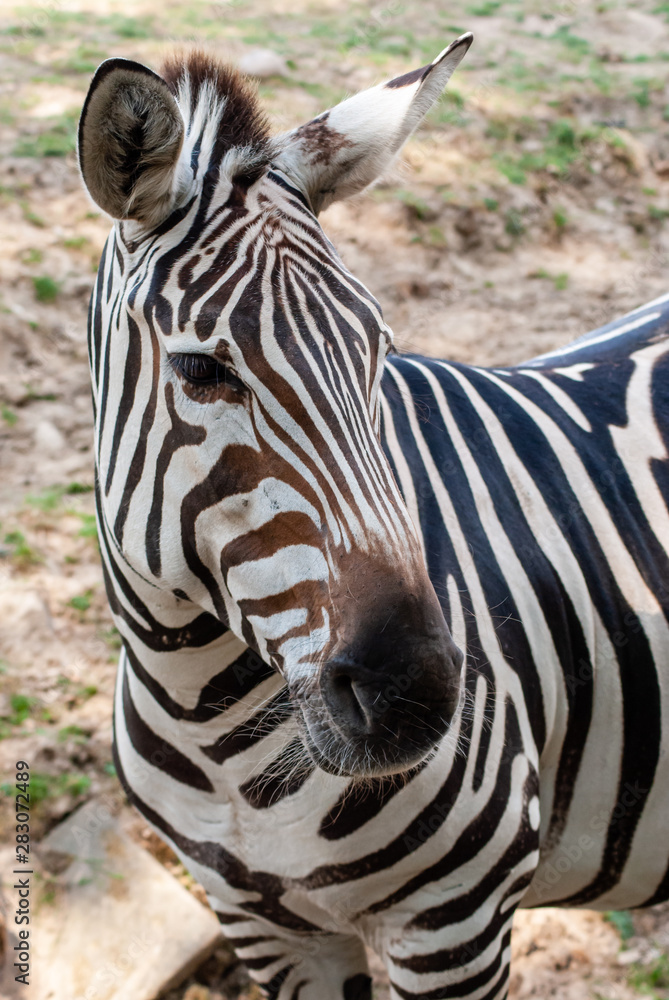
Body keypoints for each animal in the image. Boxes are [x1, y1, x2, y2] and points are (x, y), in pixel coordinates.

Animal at [77, 35, 669, 1000]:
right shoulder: (262, 928)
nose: (414, 692)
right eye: (201, 371)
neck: (205, 718)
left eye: (378, 352)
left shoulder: (454, 924)